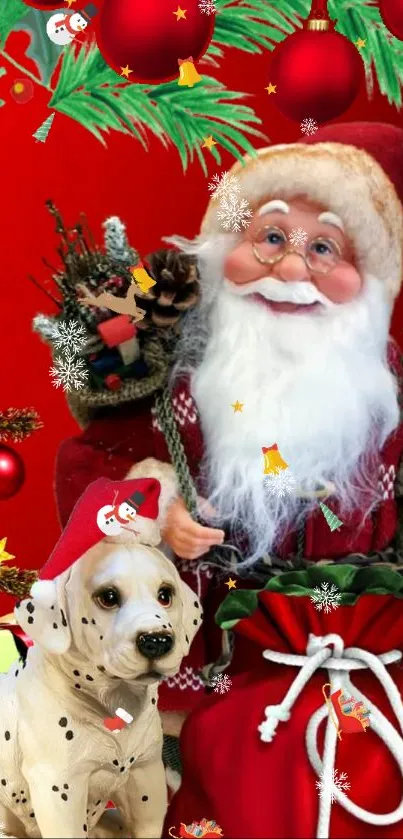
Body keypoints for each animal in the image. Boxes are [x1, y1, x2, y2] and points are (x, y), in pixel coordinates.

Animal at [0, 540, 202, 839]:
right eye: (108, 597)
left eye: (165, 594)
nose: (157, 641)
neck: (114, 704)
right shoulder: (59, 790)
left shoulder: (146, 778)